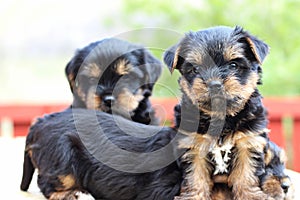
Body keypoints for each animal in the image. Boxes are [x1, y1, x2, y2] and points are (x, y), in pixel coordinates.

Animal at [163, 25, 292, 199]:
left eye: (233, 65)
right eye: (196, 69)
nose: (214, 84)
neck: (221, 117)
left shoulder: (248, 140)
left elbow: (246, 173)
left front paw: (251, 196)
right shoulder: (193, 144)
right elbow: (195, 176)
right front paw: (194, 196)